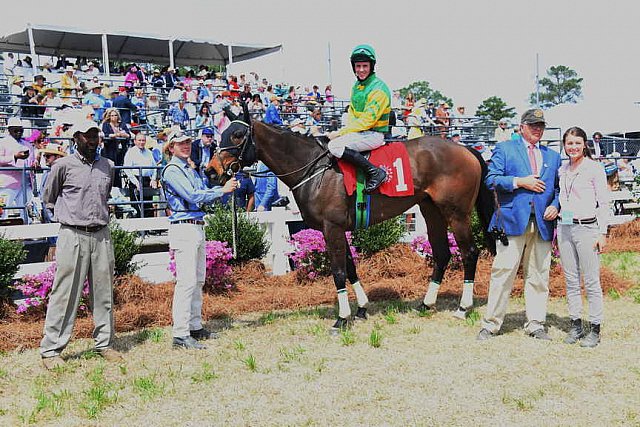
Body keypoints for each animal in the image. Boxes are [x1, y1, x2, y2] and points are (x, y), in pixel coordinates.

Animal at [208, 120, 492, 332]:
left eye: (237, 135)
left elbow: (338, 270)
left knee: (469, 252)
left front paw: (342, 318)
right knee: (442, 253)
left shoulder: (331, 227)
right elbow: (350, 266)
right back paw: (426, 303)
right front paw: (361, 308)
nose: (210, 171)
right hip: (430, 210)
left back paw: (463, 307)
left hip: (456, 213)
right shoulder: (334, 227)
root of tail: (466, 149)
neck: (315, 169)